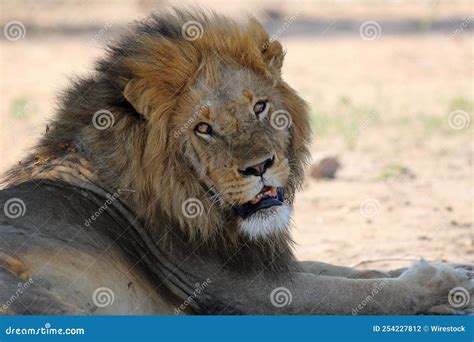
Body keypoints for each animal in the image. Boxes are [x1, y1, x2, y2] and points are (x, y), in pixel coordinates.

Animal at [0, 10, 472, 316]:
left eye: (260, 107)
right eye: (203, 128)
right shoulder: (247, 292)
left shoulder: (265, 264)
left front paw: (455, 267)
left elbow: (351, 271)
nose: (259, 167)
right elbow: (364, 293)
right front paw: (447, 287)